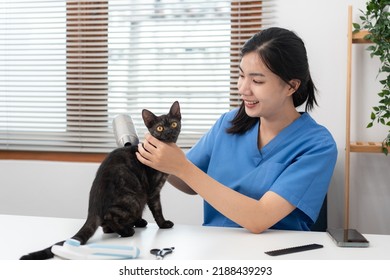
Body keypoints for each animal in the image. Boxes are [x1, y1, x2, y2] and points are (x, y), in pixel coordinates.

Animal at [20, 101, 181, 260]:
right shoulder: (153, 190)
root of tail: (93, 208)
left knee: (106, 227)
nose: (168, 132)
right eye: (160, 128)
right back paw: (127, 231)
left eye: (173, 124)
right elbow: (157, 209)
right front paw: (163, 224)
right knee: (110, 217)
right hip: (134, 198)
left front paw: (141, 221)